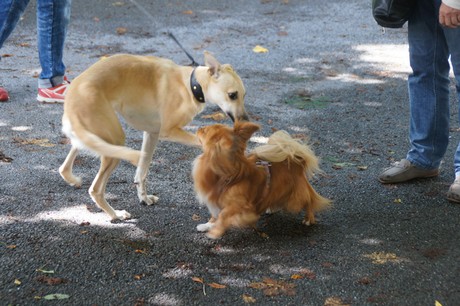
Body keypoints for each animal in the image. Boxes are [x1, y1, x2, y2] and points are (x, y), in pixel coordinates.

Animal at [60, 52, 248, 220]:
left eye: (244, 95)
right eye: (232, 95)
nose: (246, 120)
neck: (191, 85)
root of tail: (72, 98)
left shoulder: (152, 134)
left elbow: (142, 172)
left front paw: (143, 197)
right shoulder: (168, 131)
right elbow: (202, 142)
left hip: (92, 138)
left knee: (64, 168)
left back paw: (72, 179)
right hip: (114, 142)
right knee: (96, 190)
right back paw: (116, 215)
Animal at [191, 120, 330, 239]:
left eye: (205, 131)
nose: (199, 128)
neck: (227, 176)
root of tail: (297, 160)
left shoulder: (239, 204)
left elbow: (223, 215)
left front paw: (215, 231)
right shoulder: (215, 198)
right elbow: (215, 215)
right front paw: (207, 225)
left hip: (295, 200)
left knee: (309, 200)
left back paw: (309, 218)